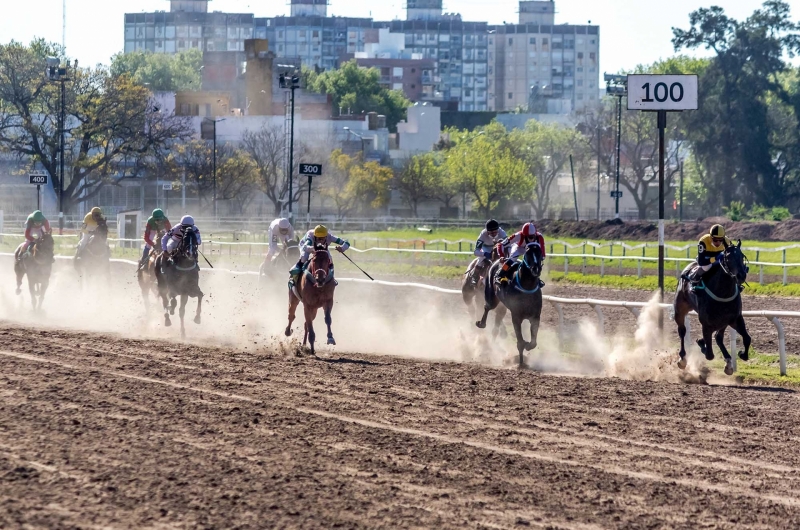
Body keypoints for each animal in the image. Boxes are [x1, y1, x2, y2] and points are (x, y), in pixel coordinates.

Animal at [676, 237, 752, 374]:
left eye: (742, 256)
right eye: (728, 257)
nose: (741, 275)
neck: (723, 292)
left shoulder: (735, 318)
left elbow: (747, 339)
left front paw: (742, 354)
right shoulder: (706, 323)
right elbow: (709, 354)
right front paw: (702, 343)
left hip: (723, 321)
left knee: (718, 337)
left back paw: (728, 362)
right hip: (680, 308)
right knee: (682, 331)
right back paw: (683, 359)